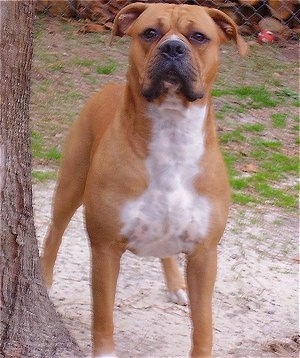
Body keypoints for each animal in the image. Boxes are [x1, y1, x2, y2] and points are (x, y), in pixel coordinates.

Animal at [42, 3, 248, 358]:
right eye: (150, 33)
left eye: (199, 36)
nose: (173, 47)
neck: (171, 133)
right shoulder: (105, 249)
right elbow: (103, 318)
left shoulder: (204, 253)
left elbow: (203, 325)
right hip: (70, 187)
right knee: (54, 232)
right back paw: (44, 281)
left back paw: (176, 285)